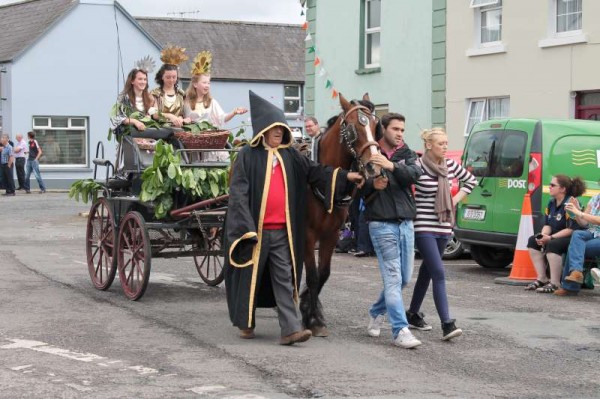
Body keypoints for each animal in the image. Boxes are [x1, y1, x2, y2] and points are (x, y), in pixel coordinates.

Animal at [302, 92, 382, 336]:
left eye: (375, 126)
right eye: (354, 127)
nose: (374, 167)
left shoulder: (332, 233)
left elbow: (323, 274)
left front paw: (311, 310)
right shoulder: (308, 234)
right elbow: (312, 276)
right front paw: (312, 319)